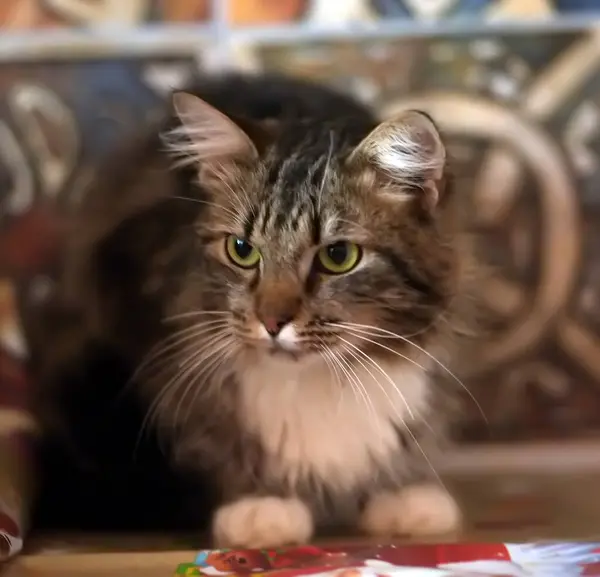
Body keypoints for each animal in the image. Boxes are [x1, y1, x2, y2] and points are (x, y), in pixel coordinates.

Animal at [27, 71, 478, 544]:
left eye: (338, 256)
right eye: (242, 250)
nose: (272, 322)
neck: (317, 380)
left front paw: (400, 493)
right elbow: (215, 440)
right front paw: (259, 504)